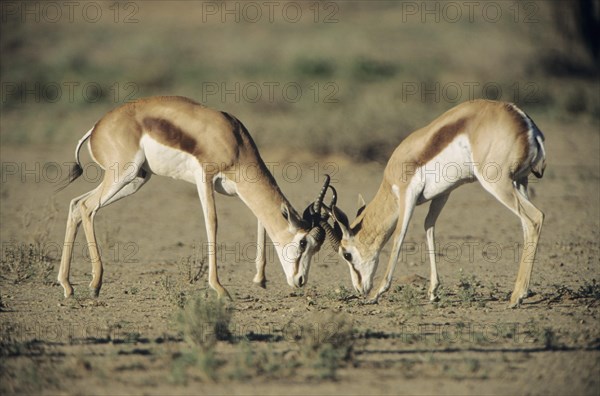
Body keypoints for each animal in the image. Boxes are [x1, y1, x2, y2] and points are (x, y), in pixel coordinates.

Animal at [56, 96, 330, 300]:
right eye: (303, 243)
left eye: (317, 247)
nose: (300, 280)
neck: (234, 140)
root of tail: (97, 127)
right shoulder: (204, 178)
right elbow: (212, 223)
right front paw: (220, 288)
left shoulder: (238, 188)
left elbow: (260, 219)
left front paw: (260, 279)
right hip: (122, 174)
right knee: (87, 207)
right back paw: (95, 284)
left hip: (136, 180)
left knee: (75, 204)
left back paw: (67, 286)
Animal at [326, 98, 548, 306]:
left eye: (346, 254)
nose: (359, 289)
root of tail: (525, 122)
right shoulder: (443, 194)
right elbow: (429, 226)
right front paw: (433, 292)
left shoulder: (407, 195)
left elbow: (399, 236)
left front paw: (377, 293)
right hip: (520, 182)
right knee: (526, 223)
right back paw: (522, 292)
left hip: (498, 184)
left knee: (536, 217)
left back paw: (517, 296)